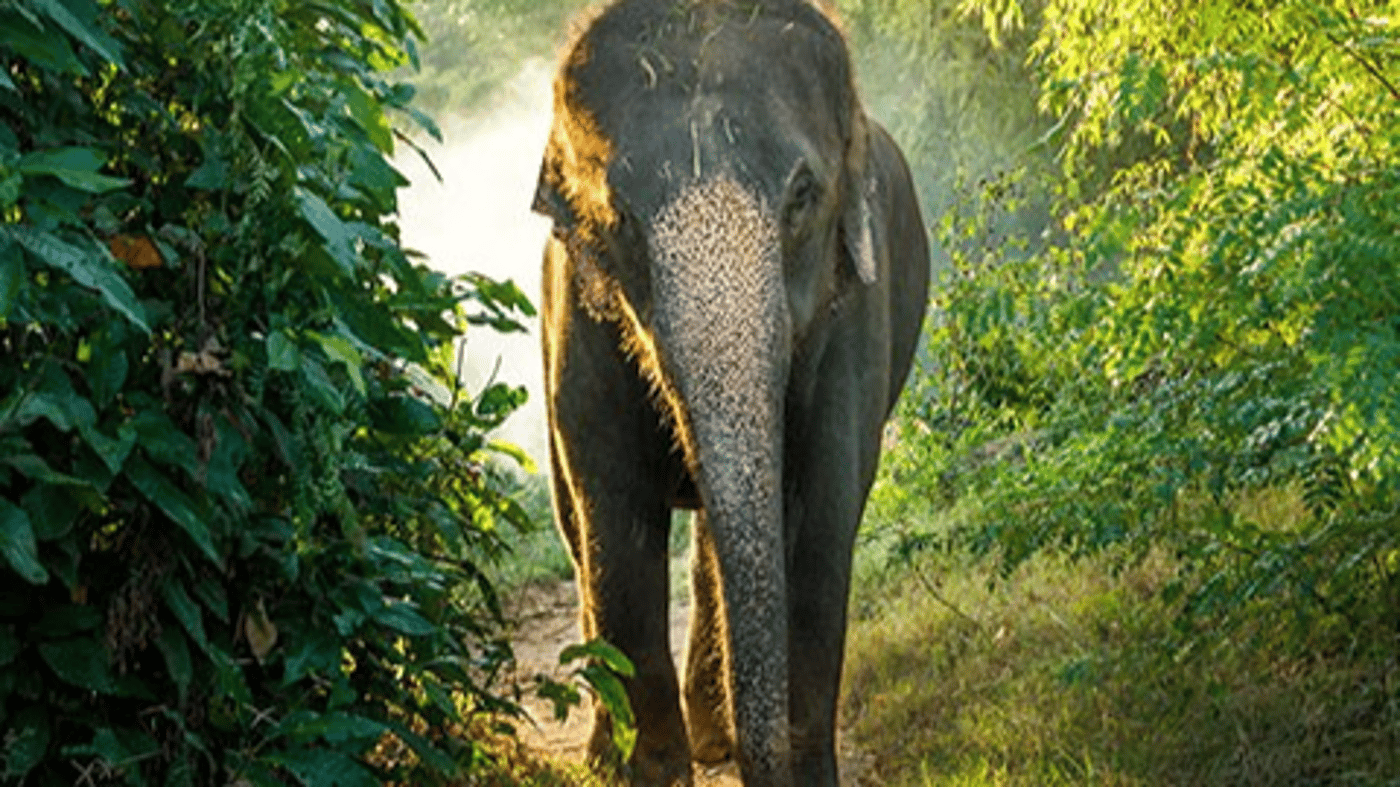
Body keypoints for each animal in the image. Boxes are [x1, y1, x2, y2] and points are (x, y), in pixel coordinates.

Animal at [531, 1, 929, 785]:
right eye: (621, 217)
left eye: (801, 196)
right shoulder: (579, 320)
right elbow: (614, 515)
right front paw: (650, 771)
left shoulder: (853, 311)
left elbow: (824, 509)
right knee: (575, 525)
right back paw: (611, 752)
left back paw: (713, 738)